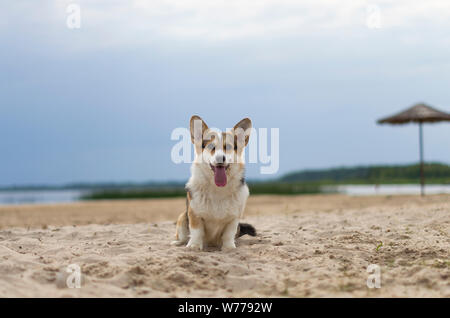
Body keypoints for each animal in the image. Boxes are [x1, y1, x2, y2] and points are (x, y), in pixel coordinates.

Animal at [171, 115, 256, 250]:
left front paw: (229, 248)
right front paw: (194, 246)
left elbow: (228, 234)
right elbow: (196, 231)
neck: (218, 189)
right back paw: (178, 242)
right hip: (182, 218)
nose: (220, 158)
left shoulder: (234, 219)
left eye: (228, 147)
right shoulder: (194, 214)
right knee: (183, 237)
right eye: (211, 147)